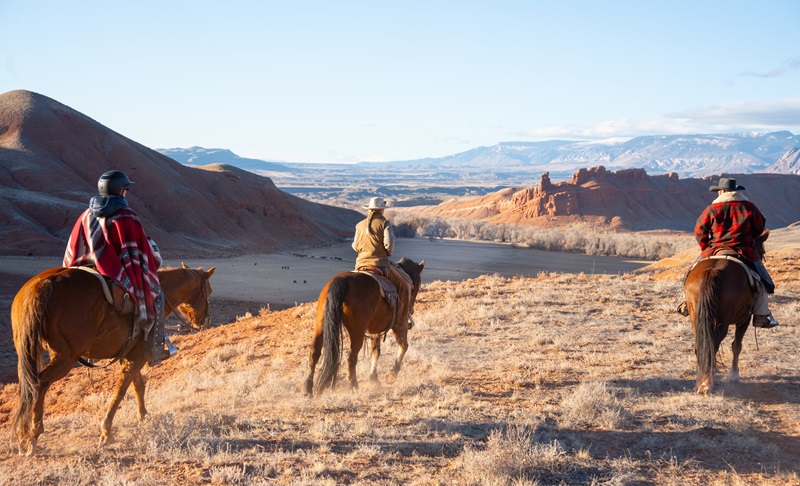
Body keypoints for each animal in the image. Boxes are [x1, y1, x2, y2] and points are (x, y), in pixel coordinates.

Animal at [10, 264, 216, 454]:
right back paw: (32, 436)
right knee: (39, 384)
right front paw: (106, 433)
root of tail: (42, 284)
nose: (205, 320)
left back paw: (21, 435)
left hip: (28, 353)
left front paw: (143, 418)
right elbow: (121, 390)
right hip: (65, 357)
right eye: (209, 291)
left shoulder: (132, 354)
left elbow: (138, 386)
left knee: (26, 387)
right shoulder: (139, 355)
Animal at [304, 256, 424, 396]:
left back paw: (308, 389)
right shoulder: (398, 324)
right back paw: (353, 386)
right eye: (417, 285)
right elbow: (403, 346)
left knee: (314, 352)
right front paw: (391, 375)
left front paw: (374, 378)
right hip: (358, 331)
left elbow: (375, 351)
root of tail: (343, 281)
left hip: (321, 324)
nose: (411, 310)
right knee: (351, 357)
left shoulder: (376, 328)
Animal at [680, 232, 768, 394]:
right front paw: (734, 376)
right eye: (762, 251)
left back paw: (702, 381)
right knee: (713, 346)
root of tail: (712, 271)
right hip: (723, 321)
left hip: (696, 318)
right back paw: (707, 384)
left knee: (701, 347)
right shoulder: (744, 319)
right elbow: (737, 346)